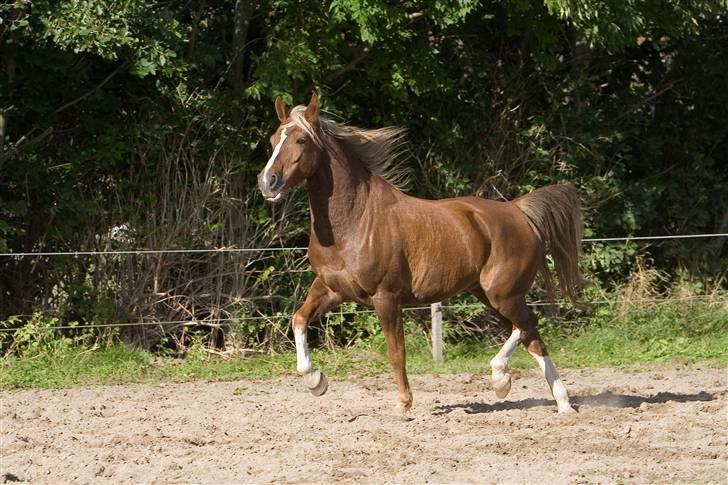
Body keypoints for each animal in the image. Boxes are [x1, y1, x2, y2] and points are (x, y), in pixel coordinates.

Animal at [258, 93, 584, 412]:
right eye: (274, 139)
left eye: (301, 140)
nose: (267, 182)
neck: (353, 221)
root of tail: (518, 211)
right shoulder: (330, 289)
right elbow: (298, 320)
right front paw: (316, 381)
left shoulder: (386, 297)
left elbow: (396, 351)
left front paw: (404, 403)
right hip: (489, 294)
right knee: (531, 335)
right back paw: (560, 403)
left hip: (502, 293)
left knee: (529, 325)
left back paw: (501, 377)